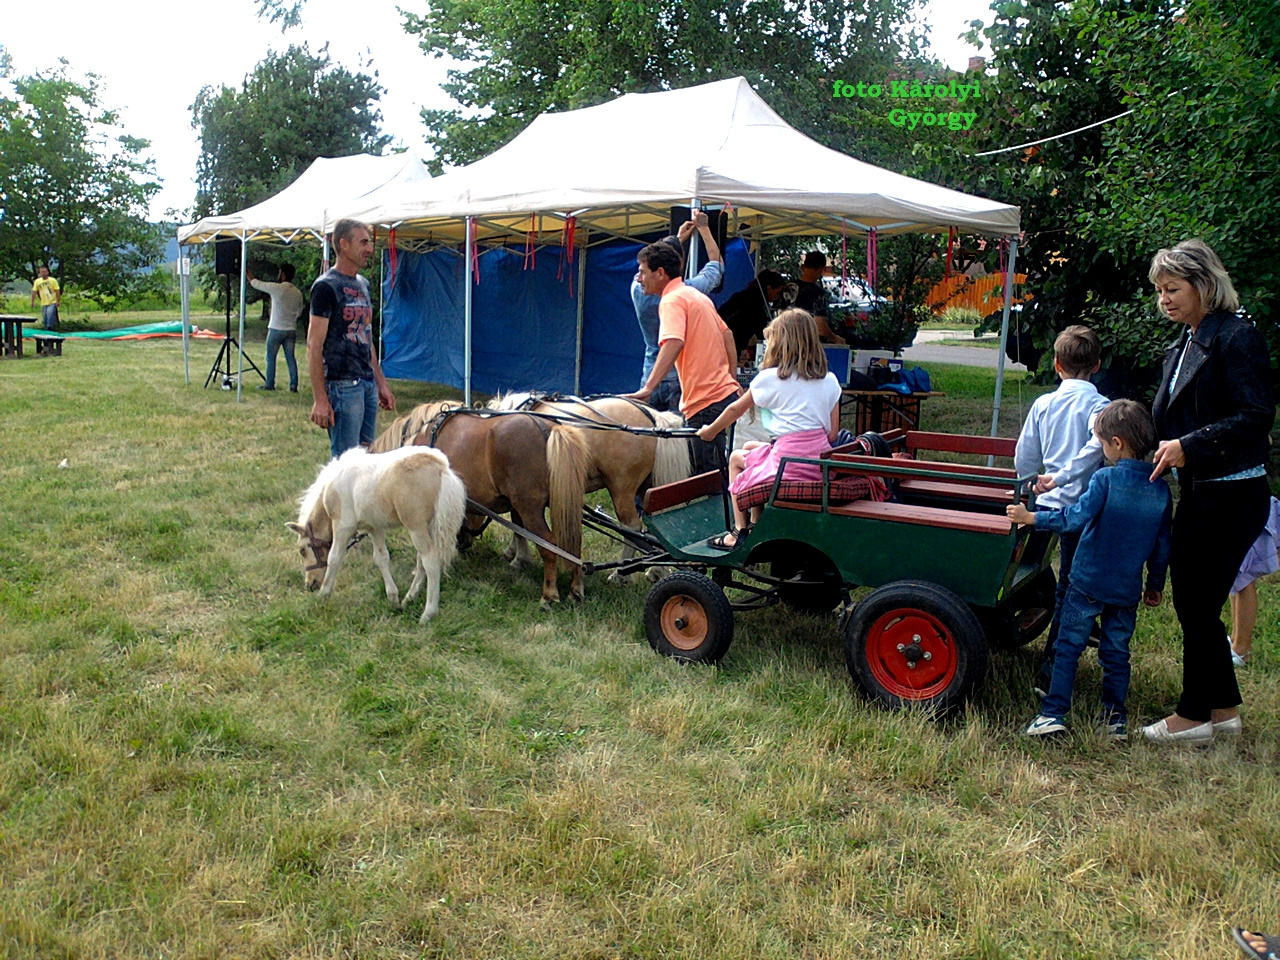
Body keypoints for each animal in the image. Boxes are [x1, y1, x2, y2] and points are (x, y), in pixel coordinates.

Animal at [288, 445, 468, 624]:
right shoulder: (374, 527)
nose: (310, 585)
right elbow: (381, 558)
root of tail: (440, 467)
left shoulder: (343, 525)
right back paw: (409, 598)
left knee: (430, 560)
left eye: (302, 550)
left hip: (415, 527)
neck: (330, 488)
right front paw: (393, 598)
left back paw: (428, 612)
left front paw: (324, 595)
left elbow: (334, 558)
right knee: (421, 560)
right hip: (427, 526)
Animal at [371, 401, 588, 604]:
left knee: (549, 546)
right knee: (574, 544)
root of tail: (548, 428)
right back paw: (576, 589)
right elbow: (518, 532)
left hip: (531, 509)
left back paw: (549, 594)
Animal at [486, 391, 691, 578]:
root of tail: (653, 416)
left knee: (632, 527)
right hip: (651, 488)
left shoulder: (522, 488)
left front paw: (519, 559)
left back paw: (621, 574)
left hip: (622, 489)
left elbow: (518, 521)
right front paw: (513, 553)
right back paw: (657, 570)